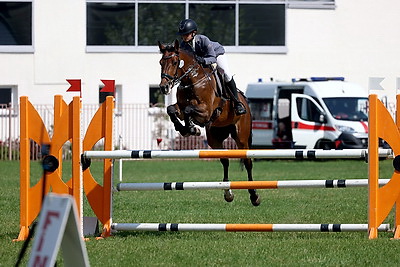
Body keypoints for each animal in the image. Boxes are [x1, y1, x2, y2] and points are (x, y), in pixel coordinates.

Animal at [158, 39, 260, 207]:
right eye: (160, 62)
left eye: (174, 62)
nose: (163, 87)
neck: (191, 80)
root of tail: (245, 101)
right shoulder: (181, 108)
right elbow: (171, 109)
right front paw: (186, 129)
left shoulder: (206, 112)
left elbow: (188, 110)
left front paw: (191, 128)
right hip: (215, 138)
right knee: (225, 160)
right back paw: (228, 193)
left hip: (241, 137)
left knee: (247, 162)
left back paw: (254, 195)